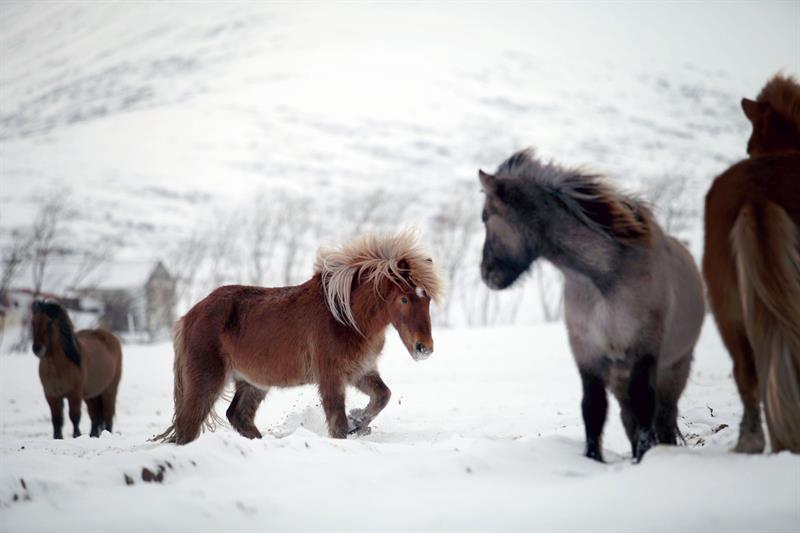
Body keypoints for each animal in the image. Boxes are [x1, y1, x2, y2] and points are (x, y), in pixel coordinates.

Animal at [31, 302, 123, 438]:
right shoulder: (51, 395)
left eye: (49, 323)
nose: (37, 349)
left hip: (109, 390)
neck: (58, 367)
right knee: (94, 417)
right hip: (91, 394)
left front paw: (76, 435)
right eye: (33, 322)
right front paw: (57, 437)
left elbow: (74, 417)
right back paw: (93, 435)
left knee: (108, 417)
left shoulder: (74, 394)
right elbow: (56, 419)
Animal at [155, 231, 444, 442]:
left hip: (252, 383)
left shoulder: (360, 371)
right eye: (404, 298)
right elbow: (337, 421)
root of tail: (188, 317)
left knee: (237, 415)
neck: (345, 317)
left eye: (427, 298)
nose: (424, 348)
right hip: (206, 382)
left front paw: (358, 421)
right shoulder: (331, 377)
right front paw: (350, 428)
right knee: (188, 426)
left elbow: (383, 396)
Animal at [478, 150, 704, 462]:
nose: (486, 273)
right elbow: (594, 410)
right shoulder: (587, 352)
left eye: (486, 216)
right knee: (629, 417)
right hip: (621, 376)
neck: (603, 277)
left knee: (663, 418)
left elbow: (644, 407)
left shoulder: (644, 351)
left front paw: (643, 458)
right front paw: (593, 459)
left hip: (674, 369)